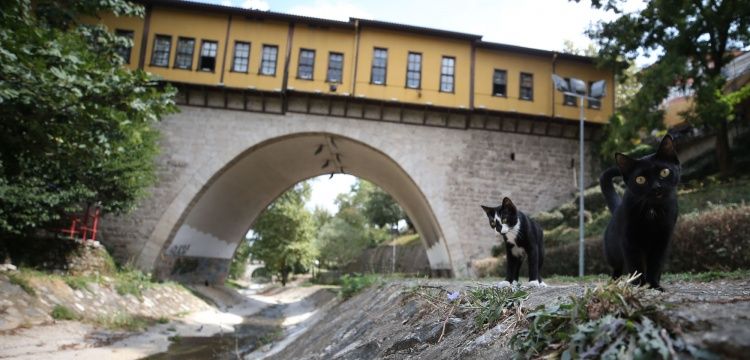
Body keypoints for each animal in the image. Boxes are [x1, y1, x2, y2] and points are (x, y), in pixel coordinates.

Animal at [604, 134, 684, 292]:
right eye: (640, 179)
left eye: (664, 172)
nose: (656, 187)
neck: (652, 210)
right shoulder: (630, 241)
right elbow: (636, 265)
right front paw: (639, 285)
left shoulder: (662, 240)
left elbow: (656, 264)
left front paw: (654, 285)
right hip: (612, 252)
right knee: (617, 267)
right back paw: (614, 282)